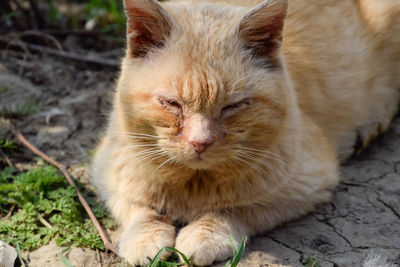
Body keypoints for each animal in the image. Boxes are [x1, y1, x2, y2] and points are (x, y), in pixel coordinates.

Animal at [91, 0, 400, 266]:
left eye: (233, 106)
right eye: (171, 103)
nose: (200, 142)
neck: (194, 184)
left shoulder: (305, 185)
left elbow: (234, 208)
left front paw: (205, 235)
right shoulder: (108, 170)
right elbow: (139, 207)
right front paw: (145, 238)